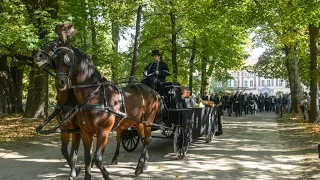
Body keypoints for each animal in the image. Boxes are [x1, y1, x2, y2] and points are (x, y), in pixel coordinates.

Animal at [32, 43, 81, 179]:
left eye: (53, 45)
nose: (37, 56)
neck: (68, 98)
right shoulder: (65, 129)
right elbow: (65, 151)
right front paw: (76, 169)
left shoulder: (78, 130)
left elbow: (74, 152)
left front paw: (73, 172)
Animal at [42, 23, 161, 180]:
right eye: (56, 59)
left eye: (68, 59)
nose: (61, 82)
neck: (94, 95)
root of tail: (152, 91)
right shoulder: (84, 132)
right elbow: (87, 157)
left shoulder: (103, 132)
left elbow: (97, 158)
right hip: (137, 122)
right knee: (143, 139)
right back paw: (143, 165)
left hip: (147, 121)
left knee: (147, 140)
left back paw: (139, 166)